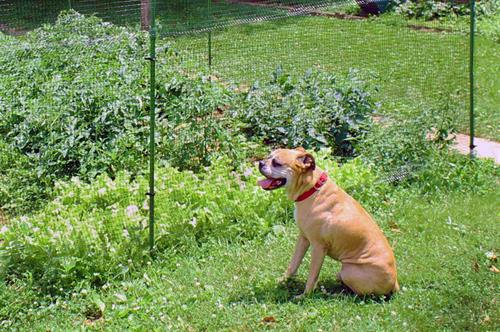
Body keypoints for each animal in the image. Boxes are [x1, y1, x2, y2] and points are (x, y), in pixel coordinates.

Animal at [258, 148, 398, 296]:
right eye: (268, 156)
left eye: (276, 163)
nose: (260, 163)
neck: (312, 188)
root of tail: (395, 284)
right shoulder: (303, 238)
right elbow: (293, 264)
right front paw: (283, 280)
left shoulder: (318, 247)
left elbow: (312, 276)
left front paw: (305, 296)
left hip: (348, 271)